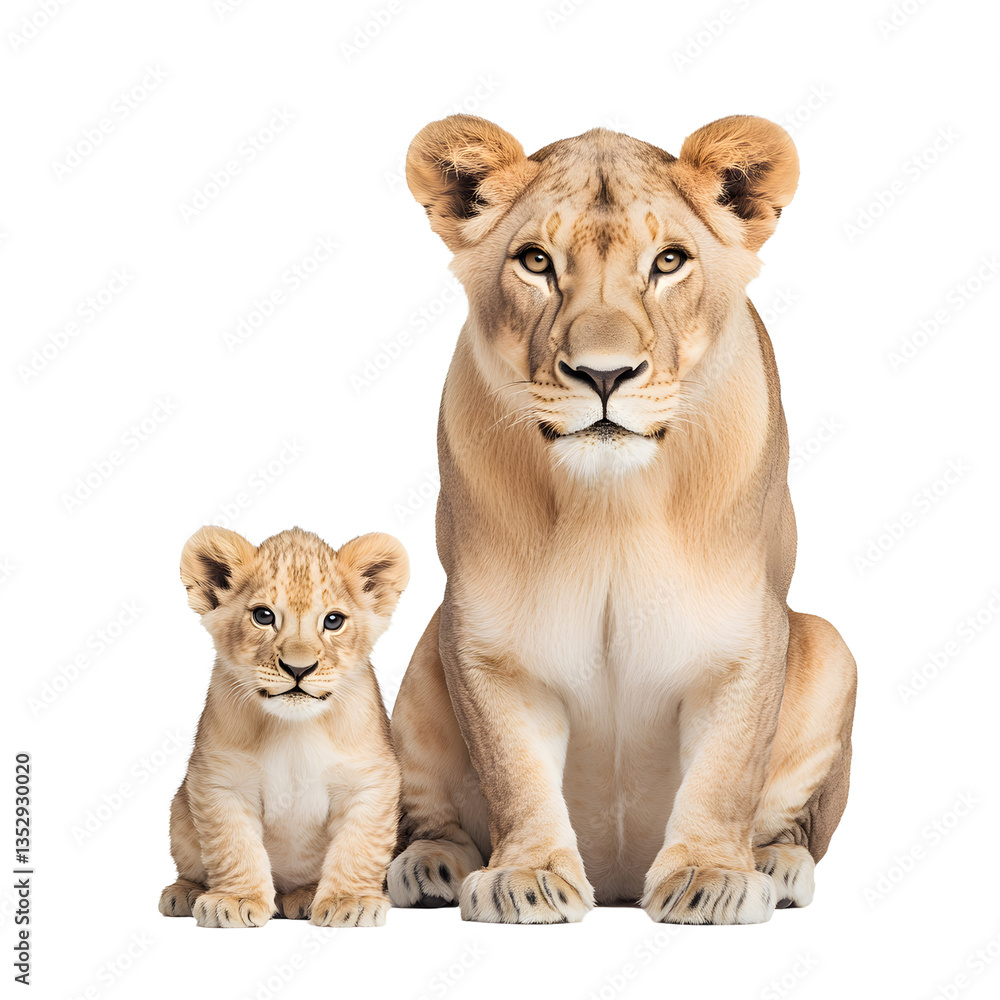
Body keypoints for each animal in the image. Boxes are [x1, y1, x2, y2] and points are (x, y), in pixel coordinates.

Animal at [158, 526, 407, 927]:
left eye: (333, 621)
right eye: (263, 616)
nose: (298, 668)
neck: (294, 730)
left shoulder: (370, 780)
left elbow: (359, 846)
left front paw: (349, 902)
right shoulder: (221, 781)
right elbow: (233, 847)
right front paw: (236, 899)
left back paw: (304, 897)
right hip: (179, 811)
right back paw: (185, 893)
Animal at [387, 114, 857, 924]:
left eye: (668, 260)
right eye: (536, 261)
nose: (603, 375)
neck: (609, 503)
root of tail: (616, 882)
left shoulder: (746, 630)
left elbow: (728, 767)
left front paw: (709, 875)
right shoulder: (483, 637)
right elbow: (511, 767)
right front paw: (526, 875)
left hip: (829, 646)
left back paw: (778, 865)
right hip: (421, 660)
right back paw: (431, 867)